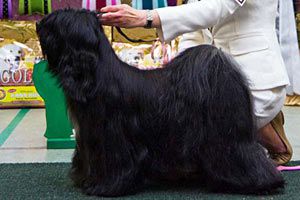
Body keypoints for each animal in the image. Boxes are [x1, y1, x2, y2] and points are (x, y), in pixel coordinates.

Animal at [36, 9, 284, 197]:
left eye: (55, 23)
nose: (38, 23)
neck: (97, 75)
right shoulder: (90, 138)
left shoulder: (113, 137)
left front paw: (104, 187)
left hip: (228, 137)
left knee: (247, 155)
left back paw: (263, 183)